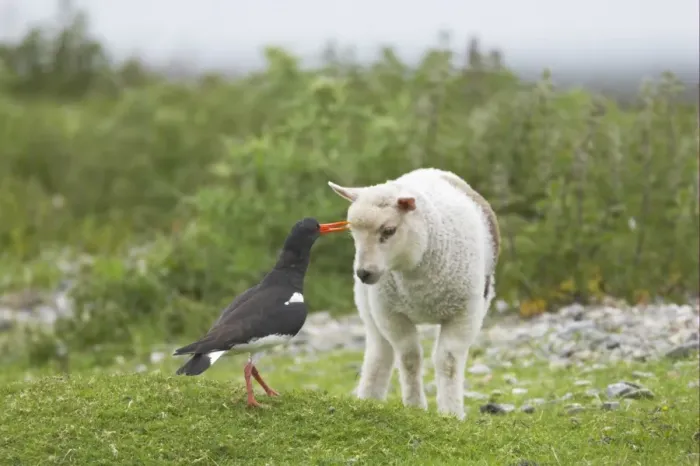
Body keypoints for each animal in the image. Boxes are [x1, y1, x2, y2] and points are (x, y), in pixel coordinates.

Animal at [327, 167, 500, 420]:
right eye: (353, 234)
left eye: (389, 230)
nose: (364, 273)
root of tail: (430, 170)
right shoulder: (390, 312)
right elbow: (409, 358)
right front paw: (415, 407)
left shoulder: (466, 311)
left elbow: (448, 361)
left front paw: (451, 412)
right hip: (369, 306)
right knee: (380, 352)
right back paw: (368, 398)